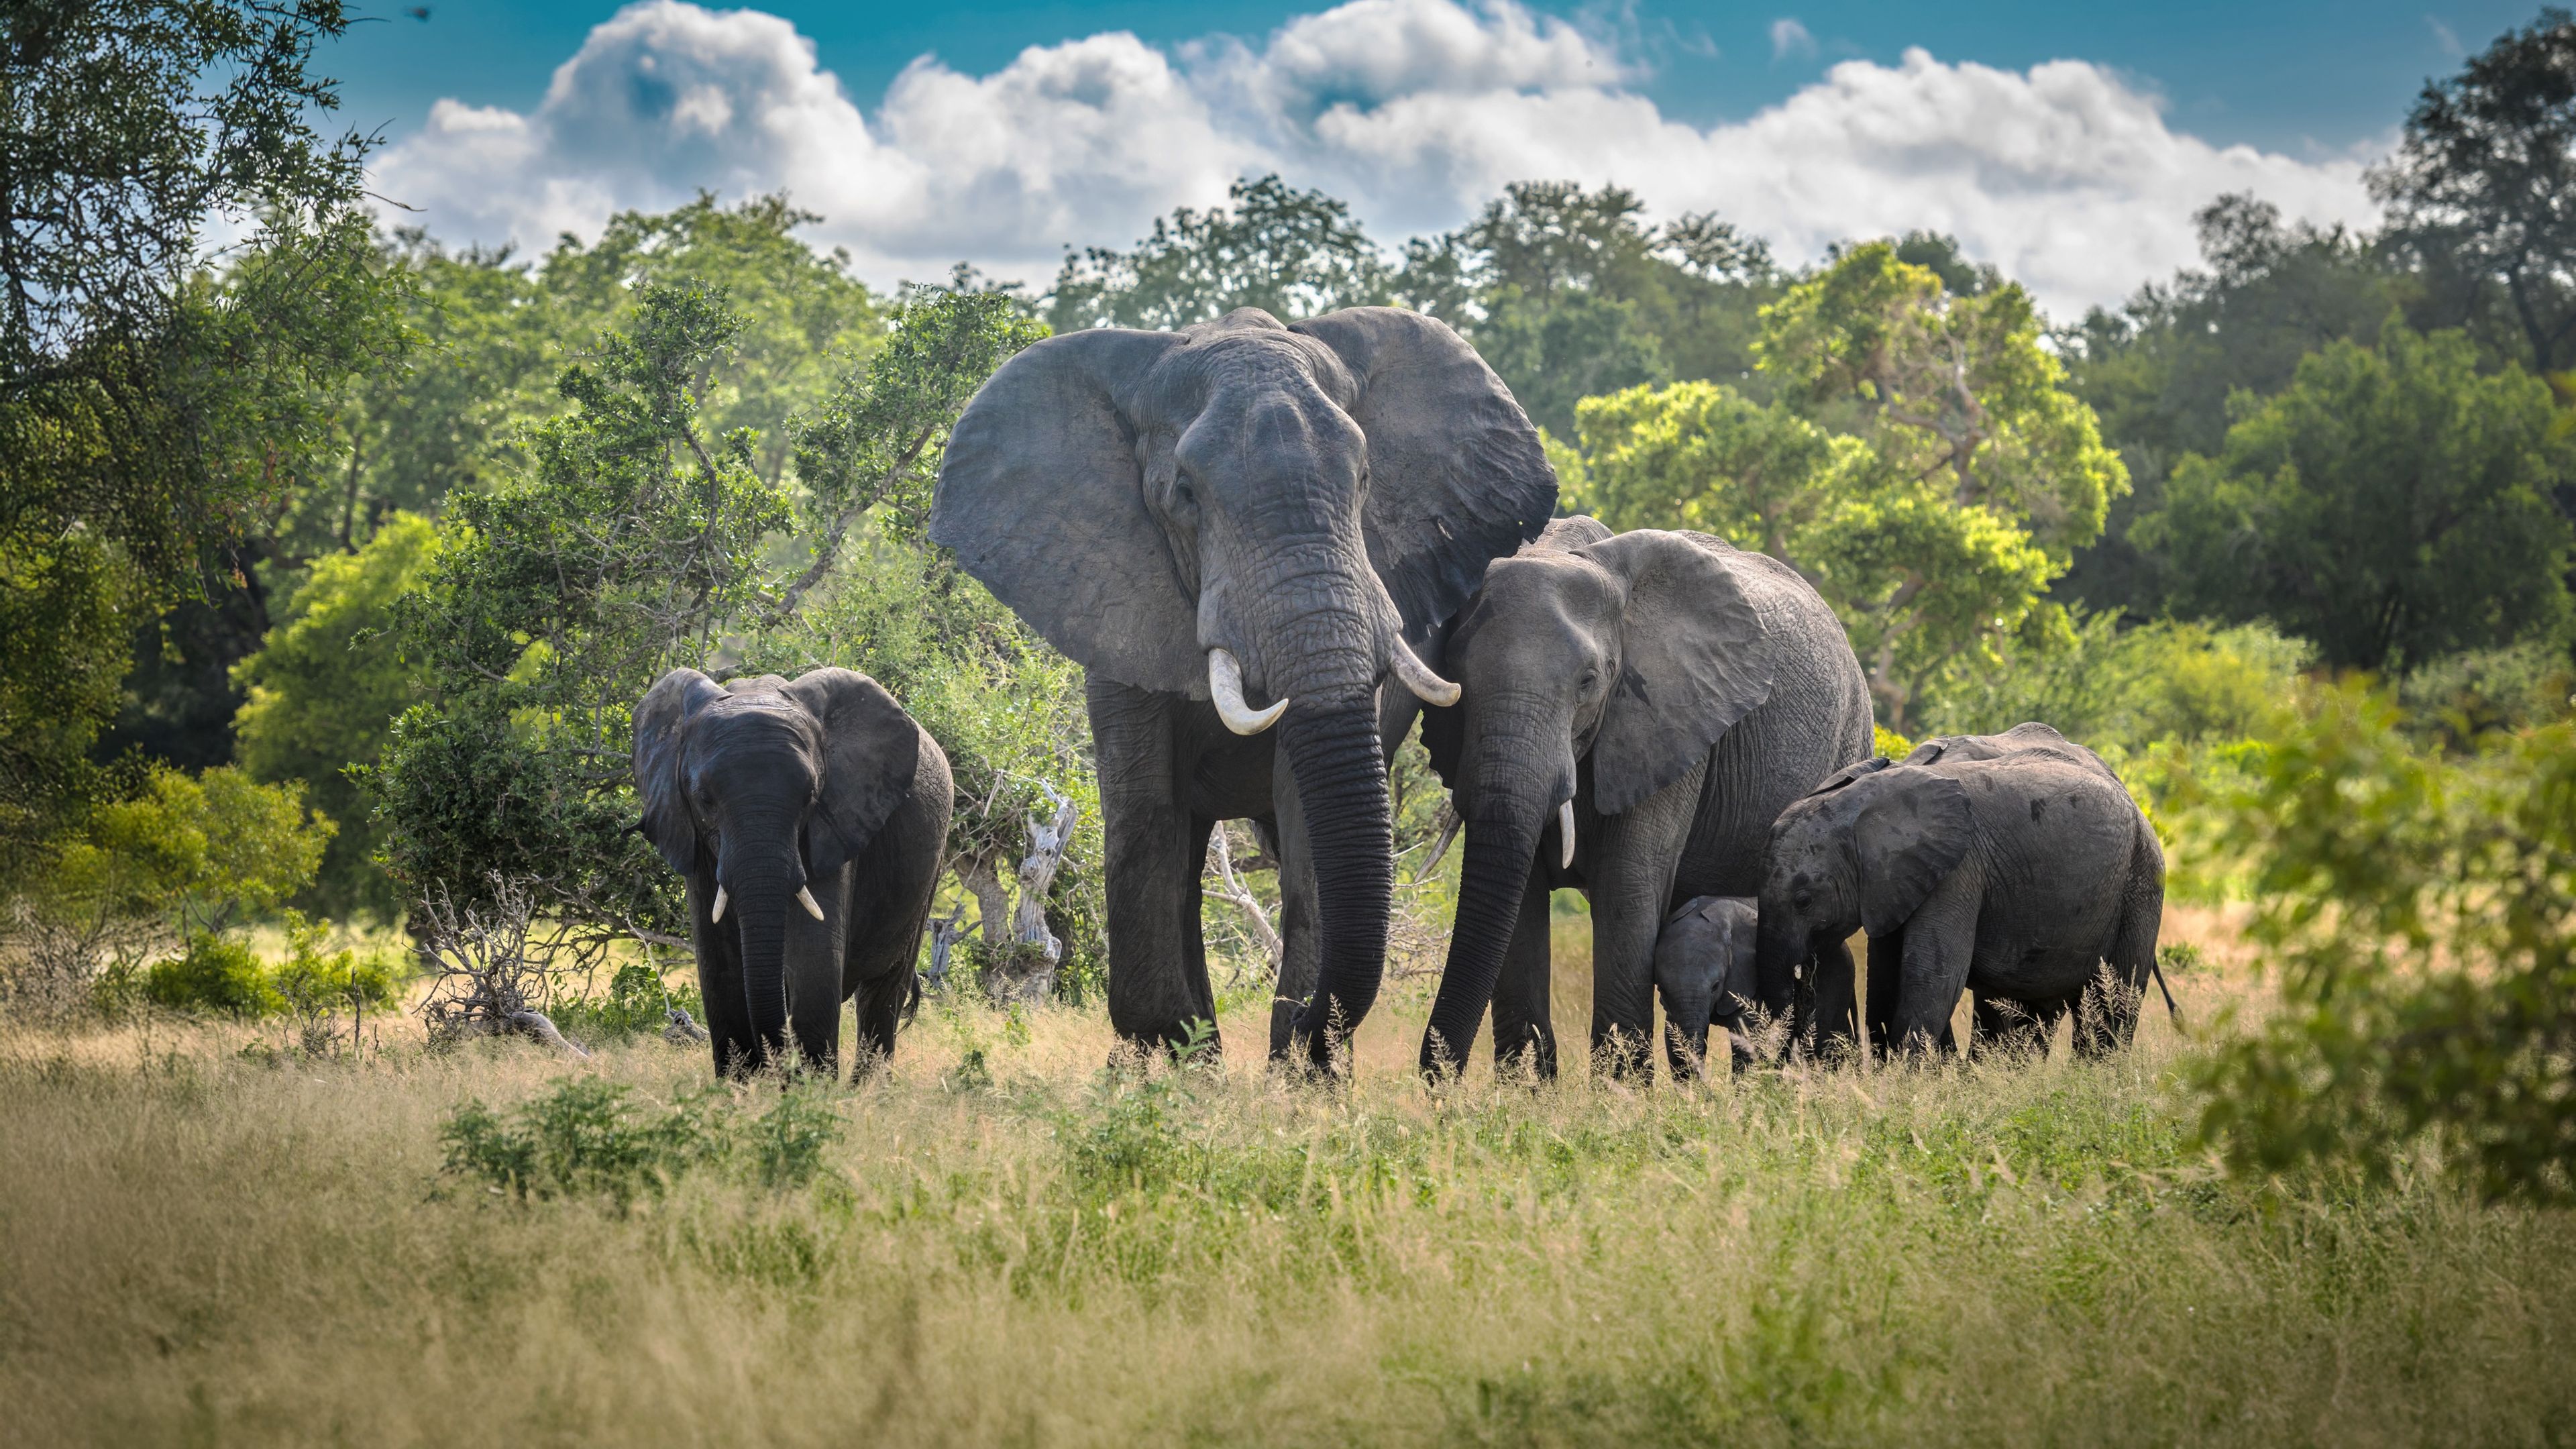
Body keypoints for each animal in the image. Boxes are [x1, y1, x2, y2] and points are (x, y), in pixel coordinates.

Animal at [634, 667, 953, 1078]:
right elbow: (719, 964)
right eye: (704, 799)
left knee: (883, 993)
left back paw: (867, 1090)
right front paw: (740, 1087)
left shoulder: (836, 825)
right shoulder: (694, 842)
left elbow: (813, 960)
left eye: (810, 797)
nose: (782, 1071)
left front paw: (812, 1089)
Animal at [930, 306, 1555, 1067]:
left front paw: (1298, 1065)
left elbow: (1306, 820)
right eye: (1184, 496)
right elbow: (1145, 816)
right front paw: (1175, 1060)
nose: (1311, 1018)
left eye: (1365, 480)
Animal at [1755, 739, 2166, 1060]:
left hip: (2141, 883)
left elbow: (1931, 977)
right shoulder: (1892, 883)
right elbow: (1886, 977)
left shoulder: (1958, 871)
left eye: (1804, 900)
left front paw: (1906, 1083)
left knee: (2113, 1001)